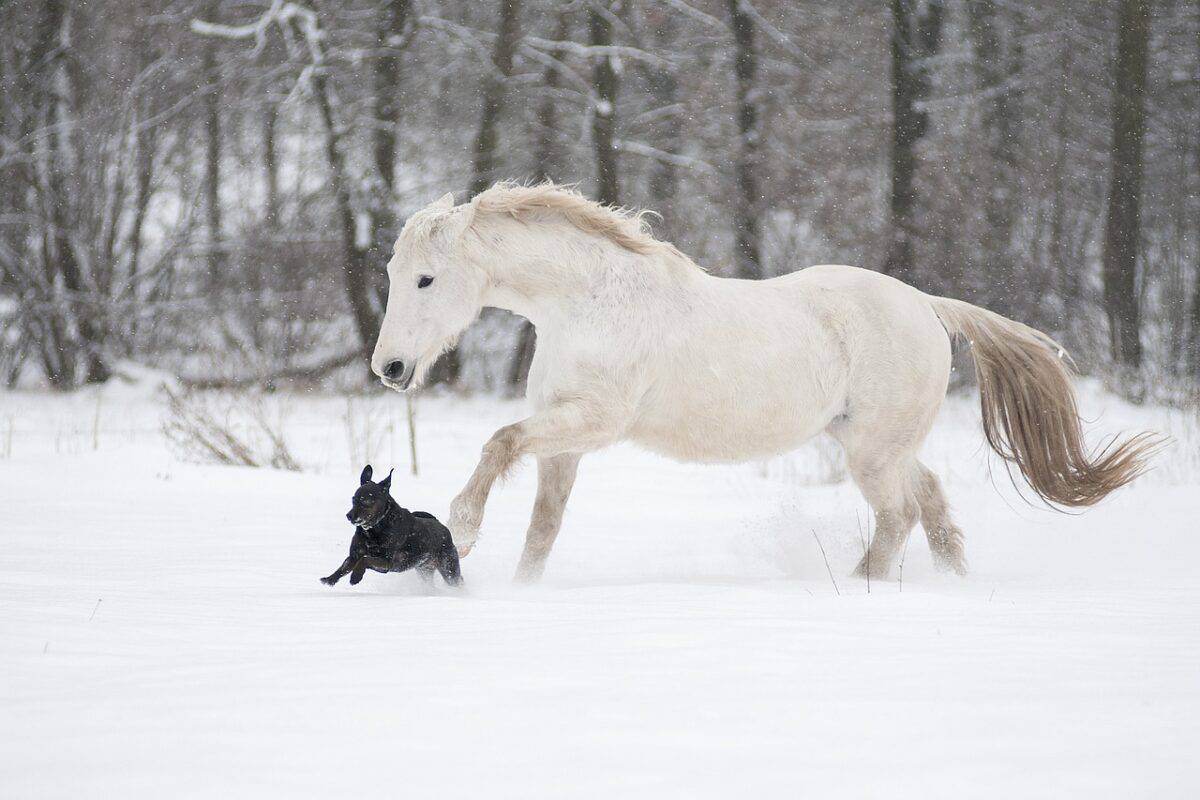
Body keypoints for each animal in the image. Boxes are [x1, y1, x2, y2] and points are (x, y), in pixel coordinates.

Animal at [319, 470, 458, 587]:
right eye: (354, 499)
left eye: (366, 500)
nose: (349, 515)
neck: (374, 529)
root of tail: (442, 527)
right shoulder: (354, 555)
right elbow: (344, 566)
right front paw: (330, 579)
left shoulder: (387, 562)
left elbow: (365, 560)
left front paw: (355, 576)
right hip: (424, 570)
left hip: (449, 568)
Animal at [372, 183, 1152, 582]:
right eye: (393, 273)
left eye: (426, 279)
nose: (391, 369)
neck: (590, 302)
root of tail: (929, 307)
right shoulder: (564, 443)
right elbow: (542, 530)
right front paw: (517, 589)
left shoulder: (596, 421)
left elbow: (498, 443)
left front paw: (461, 533)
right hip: (879, 444)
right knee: (930, 503)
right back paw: (949, 581)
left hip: (871, 453)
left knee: (899, 516)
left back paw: (859, 586)